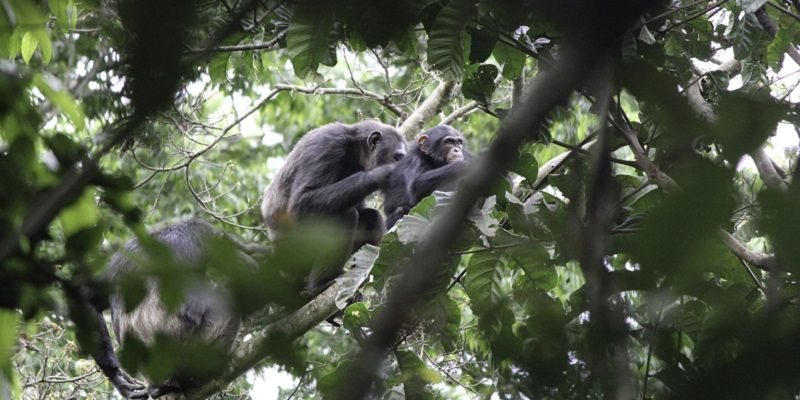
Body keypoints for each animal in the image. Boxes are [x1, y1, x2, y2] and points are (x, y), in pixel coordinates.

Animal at [260, 120, 406, 298]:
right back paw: (318, 286)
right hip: (295, 258)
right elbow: (302, 200)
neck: (356, 150)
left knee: (370, 217)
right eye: (397, 157)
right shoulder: (326, 147)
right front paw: (382, 173)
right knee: (344, 216)